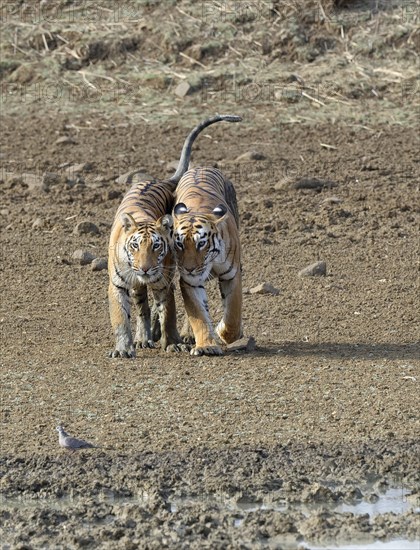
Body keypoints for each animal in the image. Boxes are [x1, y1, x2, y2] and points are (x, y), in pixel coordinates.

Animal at [171, 160, 243, 358]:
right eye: (179, 244)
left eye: (201, 243)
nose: (188, 268)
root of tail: (201, 167)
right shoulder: (190, 282)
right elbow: (198, 314)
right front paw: (206, 346)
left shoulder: (232, 275)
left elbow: (233, 313)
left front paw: (222, 332)